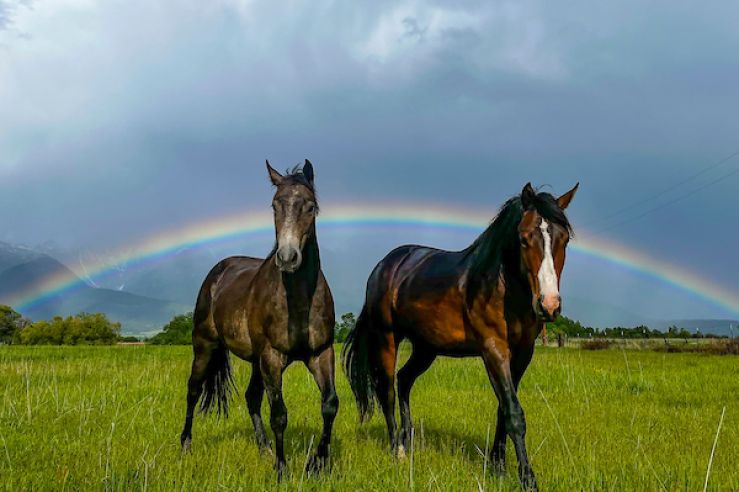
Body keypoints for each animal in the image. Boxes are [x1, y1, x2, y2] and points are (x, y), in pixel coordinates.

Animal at [182, 160, 338, 478]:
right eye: (275, 205)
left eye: (310, 207)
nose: (288, 258)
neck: (297, 301)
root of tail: (217, 272)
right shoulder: (272, 358)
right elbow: (279, 414)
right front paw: (282, 470)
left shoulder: (321, 353)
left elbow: (329, 404)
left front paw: (316, 464)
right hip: (205, 346)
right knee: (193, 390)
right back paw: (186, 445)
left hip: (255, 361)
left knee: (251, 397)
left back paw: (264, 447)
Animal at [342, 183, 580, 490]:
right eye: (525, 238)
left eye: (565, 239)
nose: (549, 305)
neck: (500, 286)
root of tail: (384, 265)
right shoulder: (494, 350)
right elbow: (514, 413)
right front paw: (527, 478)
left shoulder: (523, 353)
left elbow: (503, 409)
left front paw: (498, 466)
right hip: (387, 339)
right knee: (387, 391)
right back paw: (398, 450)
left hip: (425, 348)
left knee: (404, 380)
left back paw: (409, 440)